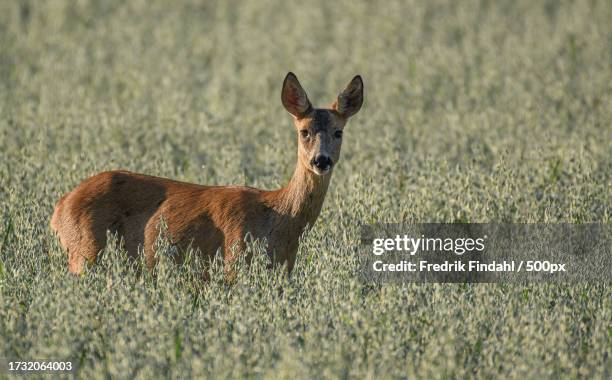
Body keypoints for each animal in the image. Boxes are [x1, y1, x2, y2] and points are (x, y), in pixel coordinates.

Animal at [52, 73, 364, 276]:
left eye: (339, 132)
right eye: (304, 131)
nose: (321, 160)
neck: (278, 219)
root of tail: (60, 206)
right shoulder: (234, 261)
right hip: (85, 252)